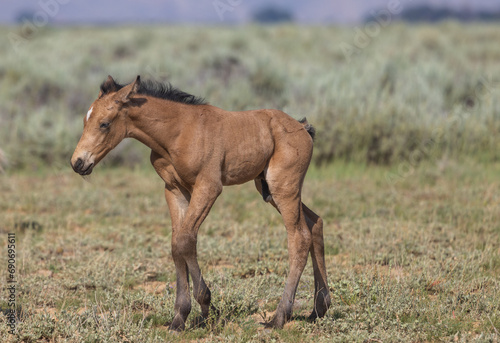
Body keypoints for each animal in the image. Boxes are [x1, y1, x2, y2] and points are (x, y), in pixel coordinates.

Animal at [69, 76, 328, 330]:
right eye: (85, 120)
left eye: (104, 123)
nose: (78, 163)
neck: (178, 132)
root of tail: (302, 128)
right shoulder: (174, 190)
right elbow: (177, 244)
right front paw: (180, 317)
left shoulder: (208, 187)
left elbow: (185, 240)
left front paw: (205, 307)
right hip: (268, 190)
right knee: (315, 222)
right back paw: (319, 309)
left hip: (283, 188)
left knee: (299, 237)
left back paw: (278, 318)